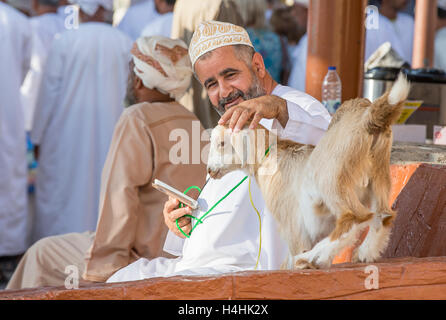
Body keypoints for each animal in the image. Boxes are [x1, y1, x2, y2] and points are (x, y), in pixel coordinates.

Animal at [207, 74, 410, 268]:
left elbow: (295, 251)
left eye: (222, 143)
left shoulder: (292, 222)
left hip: (330, 178)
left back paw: (314, 257)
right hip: (379, 176)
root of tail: (369, 119)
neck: (269, 155)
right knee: (383, 216)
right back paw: (364, 253)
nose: (209, 170)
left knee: (354, 217)